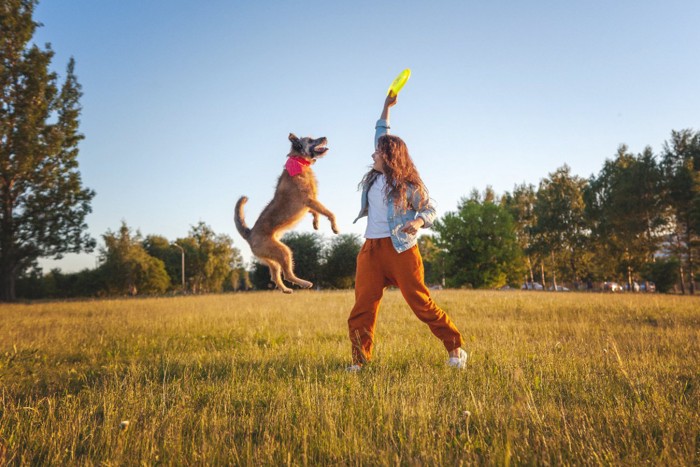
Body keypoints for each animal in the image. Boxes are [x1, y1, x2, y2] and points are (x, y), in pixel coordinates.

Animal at [235, 133, 340, 292]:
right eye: (310, 140)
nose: (325, 137)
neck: (299, 160)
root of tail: (249, 234)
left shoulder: (309, 204)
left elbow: (316, 212)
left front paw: (316, 223)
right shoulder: (309, 200)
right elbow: (329, 213)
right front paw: (334, 227)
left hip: (272, 260)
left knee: (275, 275)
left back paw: (285, 290)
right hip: (284, 251)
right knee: (288, 275)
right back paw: (304, 283)